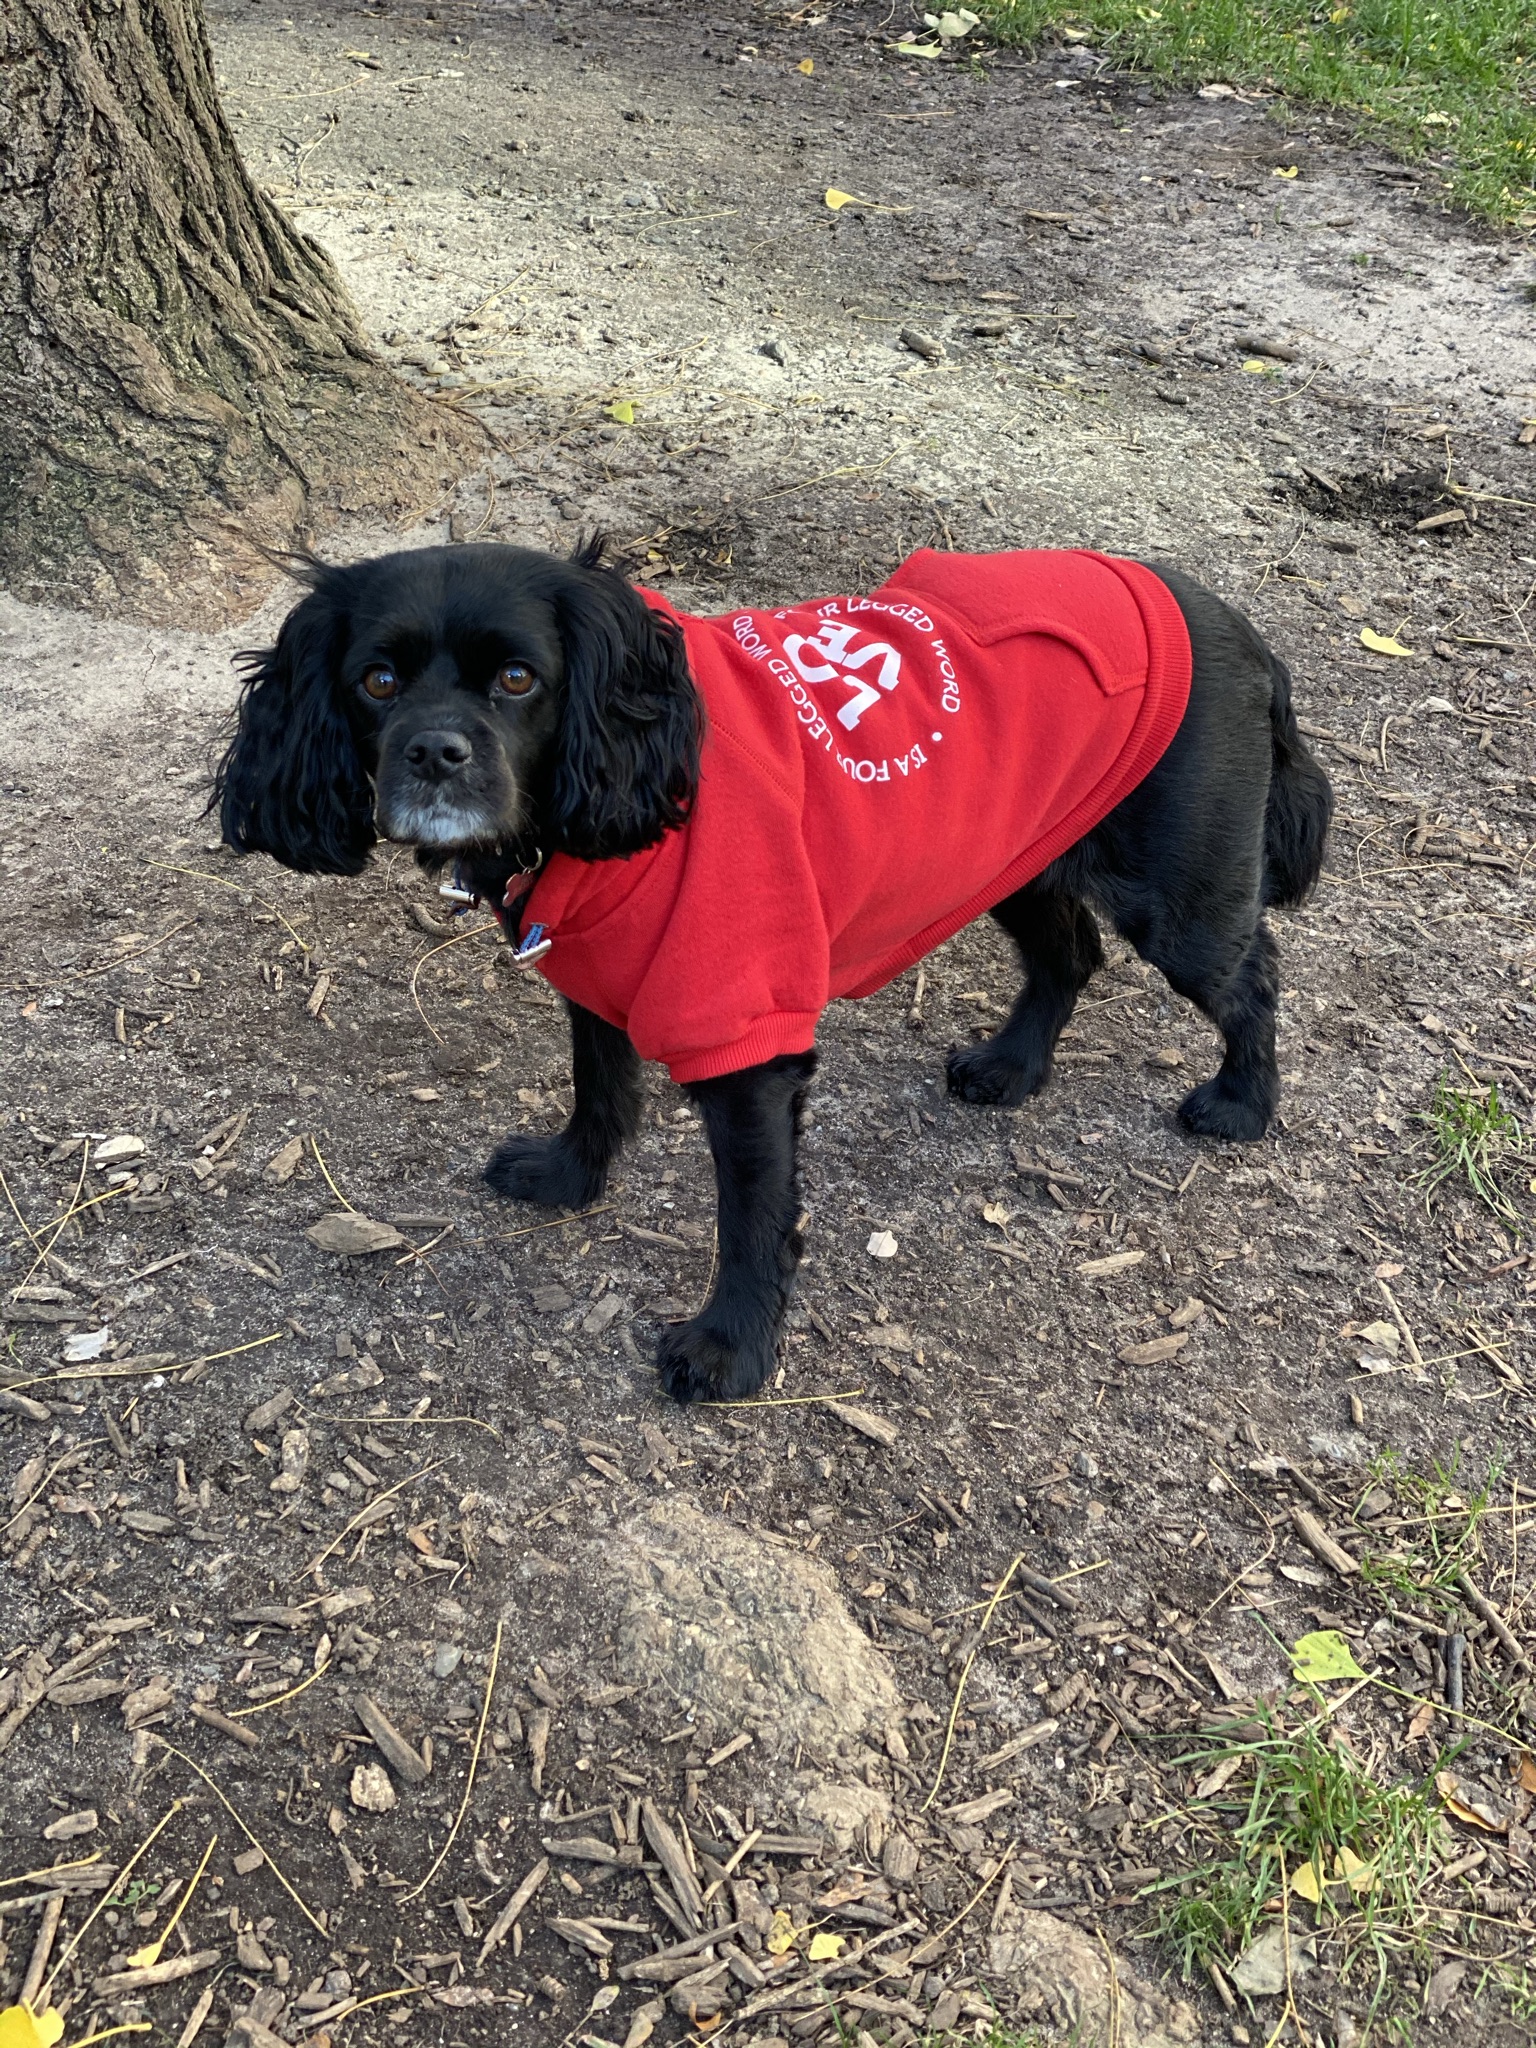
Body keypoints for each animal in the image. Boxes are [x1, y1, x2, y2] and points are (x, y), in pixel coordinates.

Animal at [217, 544, 1335, 1409]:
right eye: (377, 681)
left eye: (519, 680)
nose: (433, 754)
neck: (638, 746)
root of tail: (1234, 622)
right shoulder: (597, 973)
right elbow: (598, 1086)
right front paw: (569, 1178)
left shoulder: (748, 1040)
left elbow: (752, 1216)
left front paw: (730, 1348)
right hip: (1014, 851)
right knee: (1070, 954)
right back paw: (1011, 1068)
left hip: (1176, 895)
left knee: (1251, 978)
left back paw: (1241, 1103)